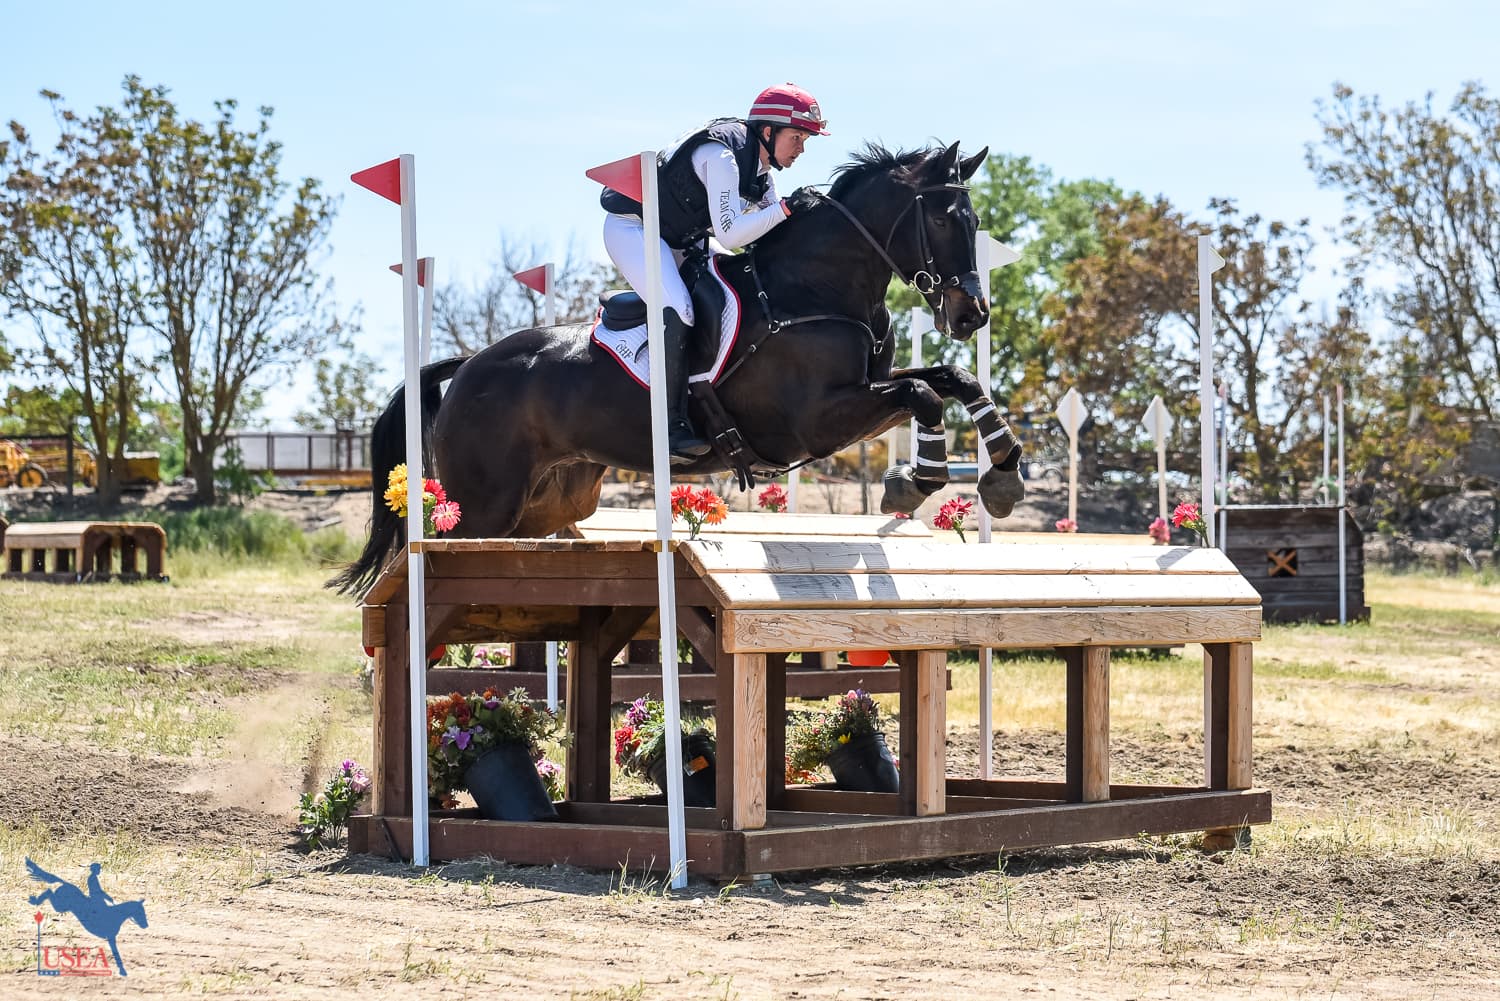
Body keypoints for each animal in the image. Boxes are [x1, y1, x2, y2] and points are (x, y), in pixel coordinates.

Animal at [333, 141, 1027, 597]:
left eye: (975, 222)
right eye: (942, 218)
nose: (972, 314)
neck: (814, 286)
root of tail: (469, 365)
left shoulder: (862, 394)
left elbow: (952, 380)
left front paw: (1003, 474)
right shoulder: (816, 422)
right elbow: (923, 395)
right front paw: (916, 481)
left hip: (552, 503)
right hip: (482, 507)